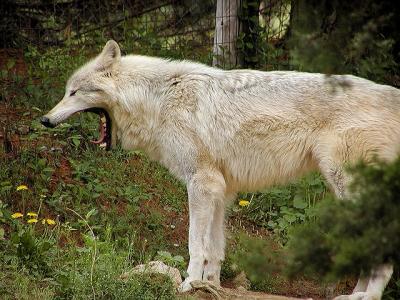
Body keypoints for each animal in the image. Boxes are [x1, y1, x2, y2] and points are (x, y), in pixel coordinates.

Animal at [42, 41, 398, 298]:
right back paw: (354, 294)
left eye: (73, 92)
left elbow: (194, 245)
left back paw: (366, 296)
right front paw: (210, 286)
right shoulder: (220, 190)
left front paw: (188, 284)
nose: (44, 119)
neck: (159, 99)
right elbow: (215, 248)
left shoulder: (200, 184)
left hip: (346, 188)